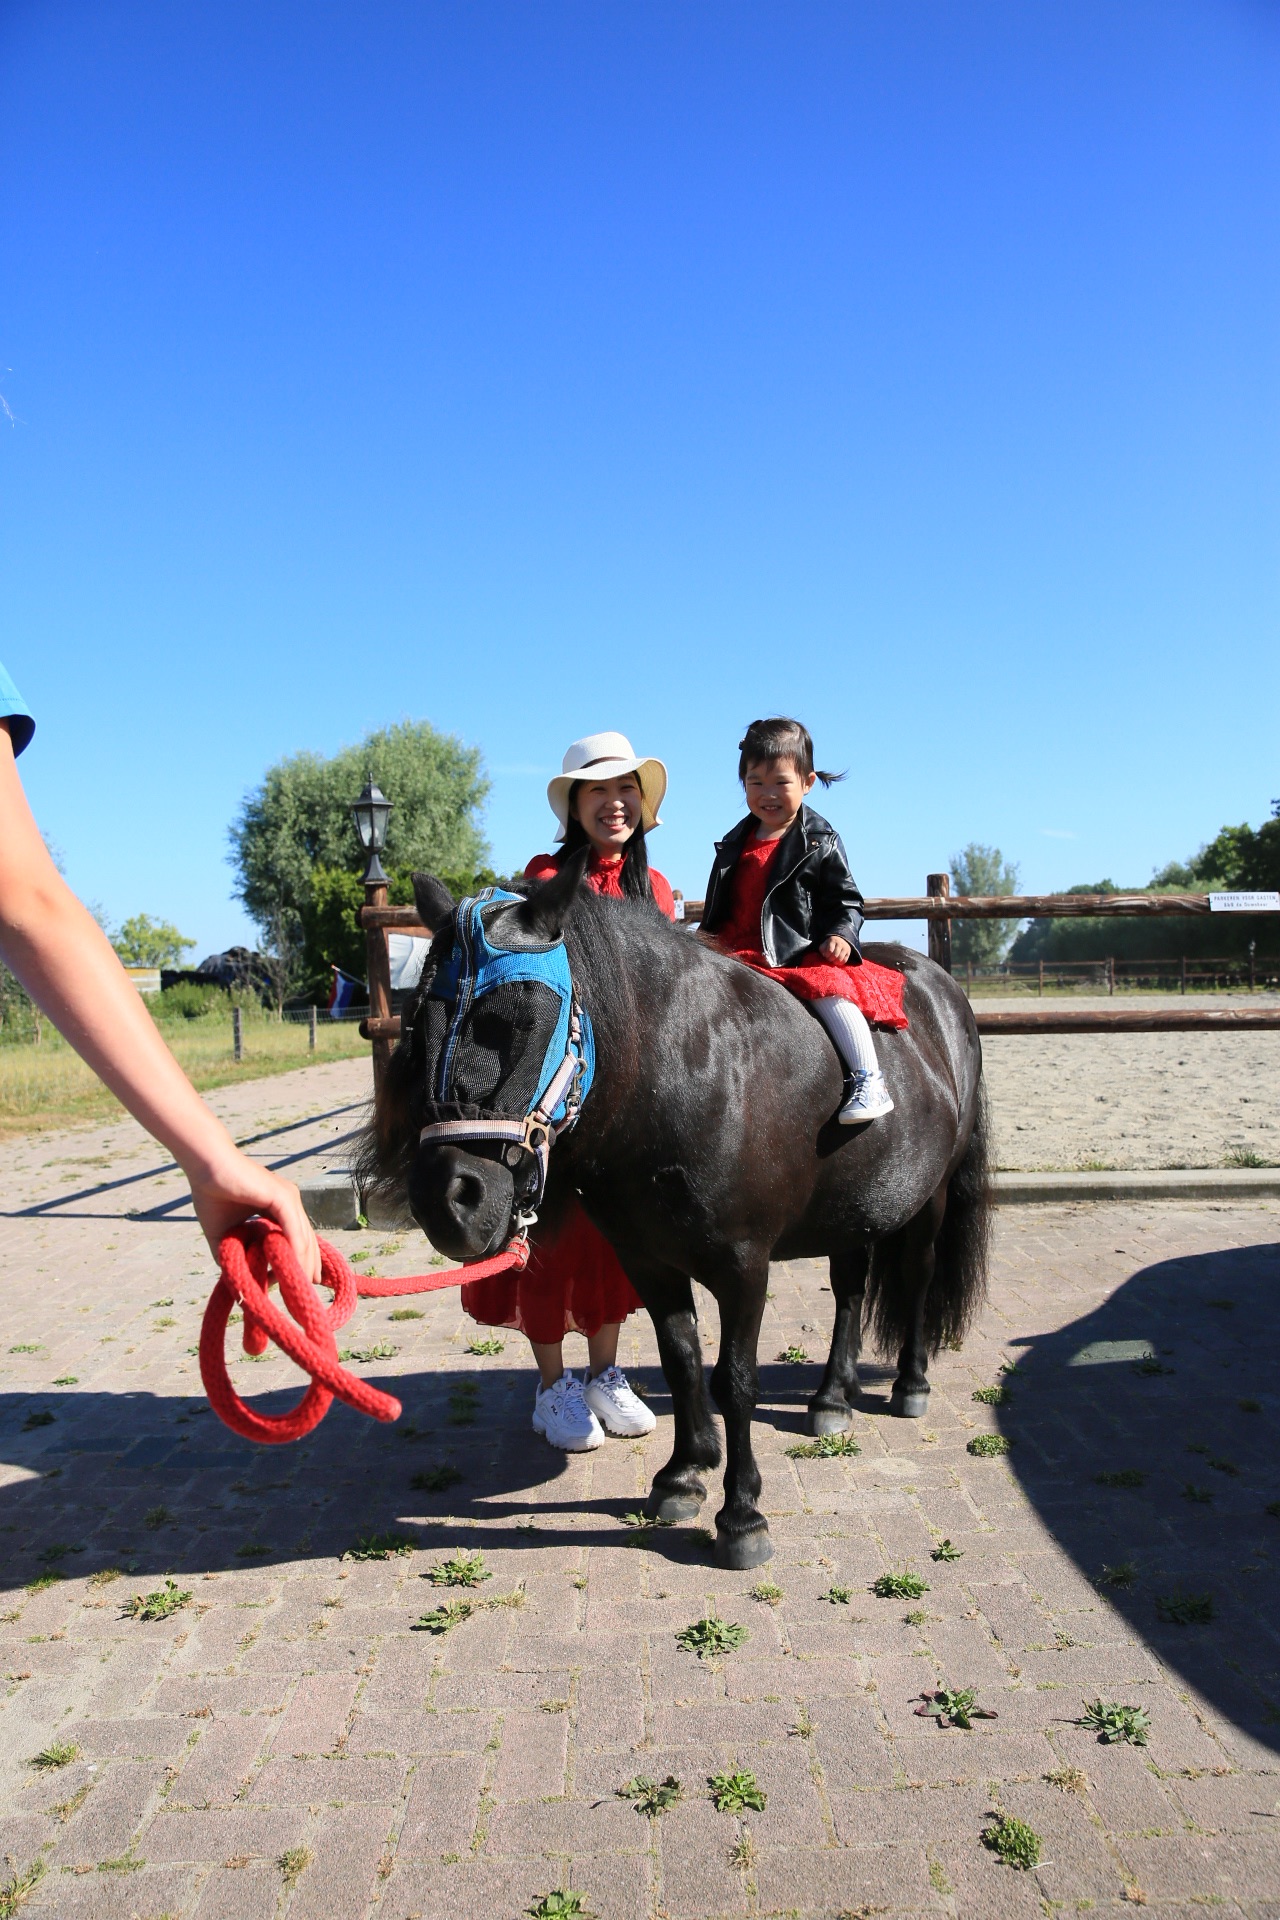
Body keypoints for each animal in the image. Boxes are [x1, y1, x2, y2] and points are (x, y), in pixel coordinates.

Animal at [360, 864, 990, 1566]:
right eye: (419, 1024)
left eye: (516, 1017)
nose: (446, 1201)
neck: (686, 1073)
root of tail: (940, 986)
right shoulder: (648, 1261)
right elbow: (681, 1359)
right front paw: (684, 1476)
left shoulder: (745, 1269)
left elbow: (735, 1380)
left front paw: (742, 1516)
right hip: (852, 1209)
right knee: (851, 1289)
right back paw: (831, 1397)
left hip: (931, 1199)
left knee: (916, 1278)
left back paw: (911, 1385)